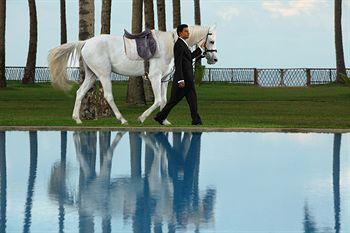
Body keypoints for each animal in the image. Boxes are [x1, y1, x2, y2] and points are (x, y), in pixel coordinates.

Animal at [47, 24, 217, 124]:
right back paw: (122, 119)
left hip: (91, 75)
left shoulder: (163, 80)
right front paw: (142, 118)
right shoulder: (154, 77)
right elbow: (157, 100)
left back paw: (77, 119)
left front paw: (164, 121)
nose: (214, 59)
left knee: (80, 93)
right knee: (108, 95)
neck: (170, 45)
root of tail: (86, 42)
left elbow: (164, 100)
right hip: (103, 74)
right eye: (212, 41)